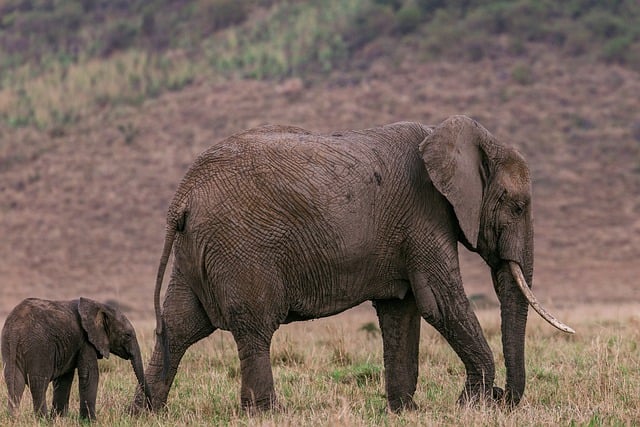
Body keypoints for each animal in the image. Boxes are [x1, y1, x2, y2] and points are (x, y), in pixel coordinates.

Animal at [1, 300, 149, 420]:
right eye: (128, 335)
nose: (149, 407)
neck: (99, 305)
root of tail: (15, 330)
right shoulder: (86, 341)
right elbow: (90, 375)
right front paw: (90, 422)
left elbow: (64, 379)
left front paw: (58, 419)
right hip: (38, 346)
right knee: (38, 383)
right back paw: (42, 420)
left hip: (9, 346)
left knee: (15, 382)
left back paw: (15, 419)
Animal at [132, 115, 572, 412]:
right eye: (518, 207)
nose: (503, 399)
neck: (451, 135)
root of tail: (183, 195)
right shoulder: (424, 214)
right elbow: (440, 302)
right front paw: (471, 405)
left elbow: (401, 311)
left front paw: (404, 411)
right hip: (238, 248)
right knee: (253, 328)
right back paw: (268, 413)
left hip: (197, 249)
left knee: (179, 325)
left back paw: (146, 412)